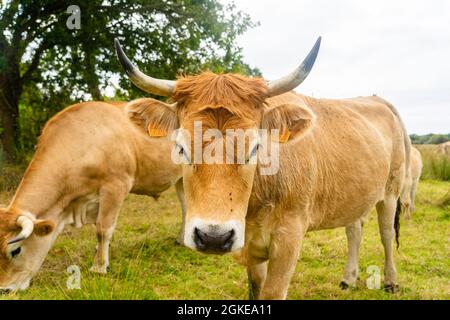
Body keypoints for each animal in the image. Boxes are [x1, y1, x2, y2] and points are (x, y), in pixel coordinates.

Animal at [114, 37, 410, 300]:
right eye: (181, 147)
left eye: (255, 147)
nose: (213, 237)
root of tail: (379, 101)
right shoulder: (252, 249)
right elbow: (256, 288)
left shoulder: (289, 240)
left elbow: (272, 292)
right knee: (354, 230)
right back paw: (348, 279)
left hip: (391, 192)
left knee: (386, 234)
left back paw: (391, 281)